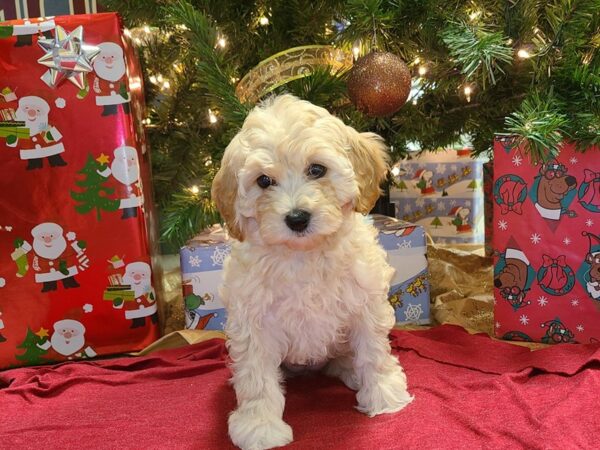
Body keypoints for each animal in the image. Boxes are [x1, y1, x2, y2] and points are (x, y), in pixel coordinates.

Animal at [213, 93, 414, 448]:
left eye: (317, 169)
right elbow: (256, 376)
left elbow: (373, 352)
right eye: (263, 181)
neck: (303, 254)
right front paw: (259, 425)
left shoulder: (365, 303)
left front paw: (384, 395)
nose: (296, 218)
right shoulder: (254, 320)